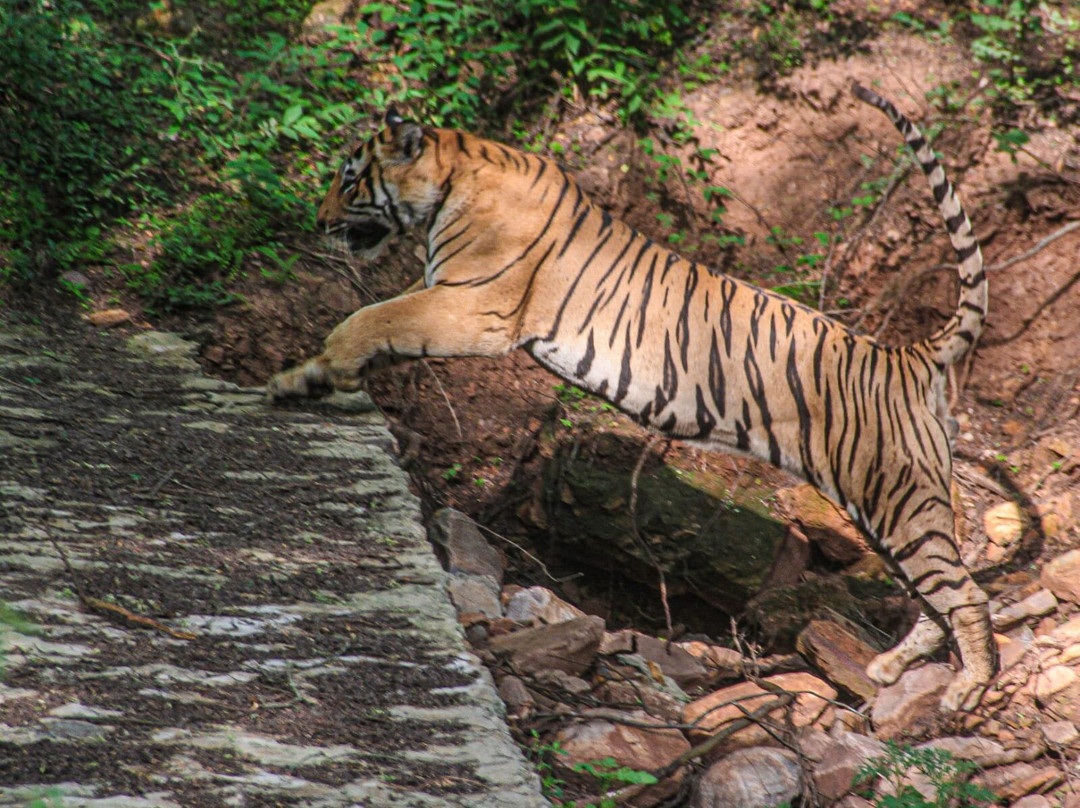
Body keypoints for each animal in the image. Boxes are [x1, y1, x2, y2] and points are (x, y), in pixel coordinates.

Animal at [268, 83, 997, 711]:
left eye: (349, 178)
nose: (318, 220)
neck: (452, 178)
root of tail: (910, 355)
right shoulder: (452, 300)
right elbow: (379, 322)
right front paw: (298, 380)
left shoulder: (474, 307)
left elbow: (372, 317)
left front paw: (328, 365)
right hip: (891, 506)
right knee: (938, 594)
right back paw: (893, 666)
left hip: (897, 497)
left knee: (964, 594)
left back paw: (969, 690)